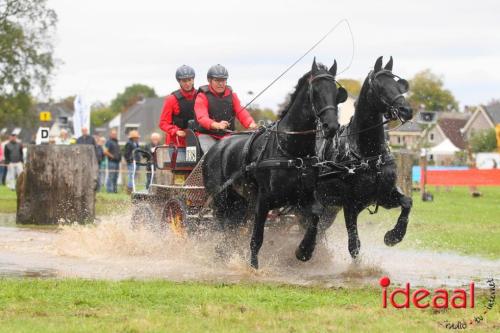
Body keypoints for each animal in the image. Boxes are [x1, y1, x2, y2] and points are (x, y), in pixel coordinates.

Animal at [203, 59, 348, 268]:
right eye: (315, 91)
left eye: (336, 93)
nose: (332, 126)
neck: (292, 152)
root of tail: (214, 149)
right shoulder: (263, 201)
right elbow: (256, 237)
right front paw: (253, 267)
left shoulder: (302, 197)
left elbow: (315, 215)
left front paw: (304, 251)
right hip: (222, 201)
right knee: (225, 231)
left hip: (240, 204)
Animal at [316, 56, 414, 260]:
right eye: (380, 86)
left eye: (398, 84)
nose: (406, 110)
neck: (368, 155)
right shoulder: (350, 205)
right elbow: (354, 245)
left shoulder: (383, 195)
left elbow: (407, 203)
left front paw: (393, 236)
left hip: (329, 209)